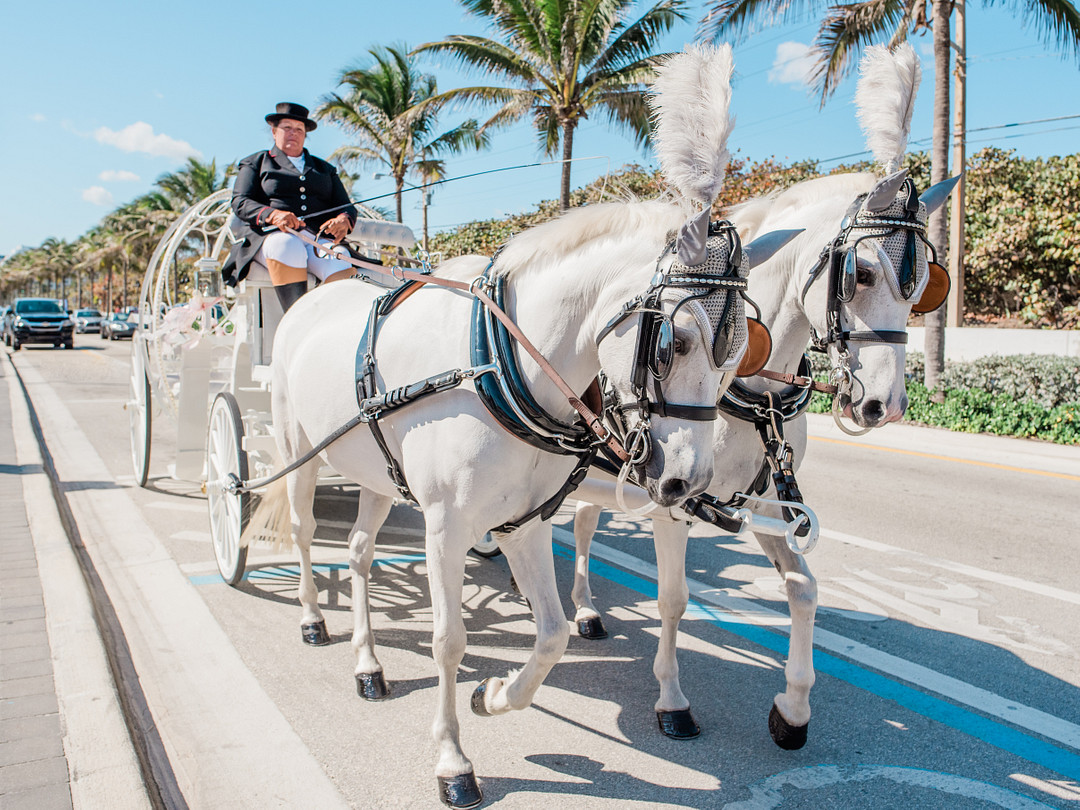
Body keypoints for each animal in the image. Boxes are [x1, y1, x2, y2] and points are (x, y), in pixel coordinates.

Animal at [570, 44, 959, 751]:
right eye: (862, 273)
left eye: (925, 283)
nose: (883, 405)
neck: (750, 394)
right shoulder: (671, 498)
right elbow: (673, 599)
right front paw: (672, 699)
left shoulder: (762, 503)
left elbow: (804, 589)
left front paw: (794, 707)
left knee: (584, 520)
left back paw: (583, 607)